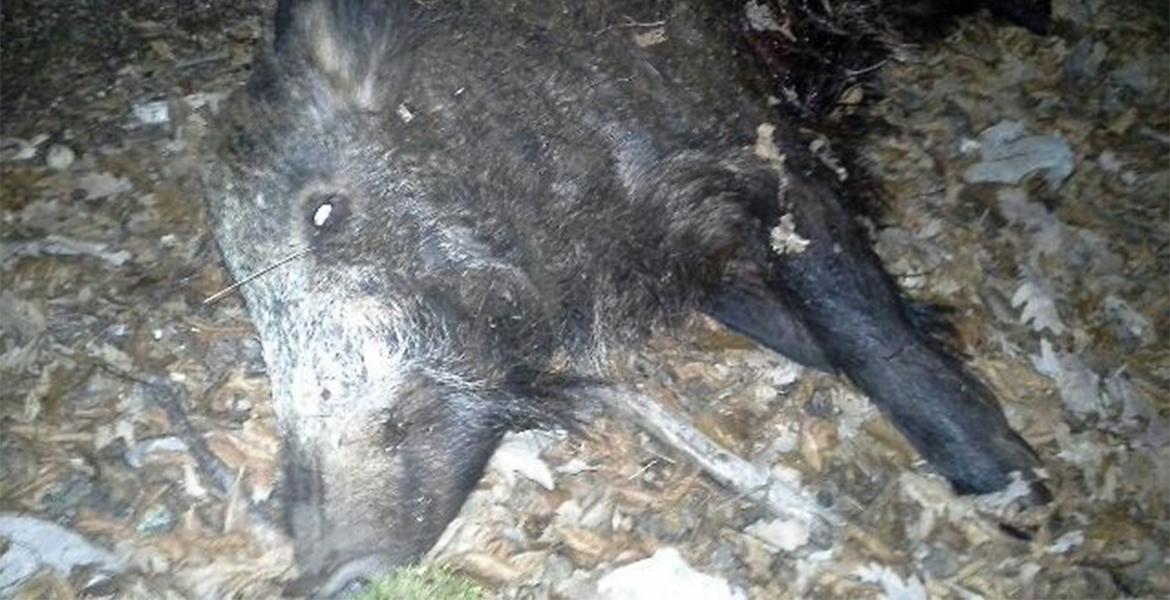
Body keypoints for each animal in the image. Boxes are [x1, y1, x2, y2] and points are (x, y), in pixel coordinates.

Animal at [203, 0, 1048, 592]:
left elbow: (860, 322)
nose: (324, 574)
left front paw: (1021, 496)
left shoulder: (763, 146)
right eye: (250, 297)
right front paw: (942, 325)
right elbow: (793, 326)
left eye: (323, 212)